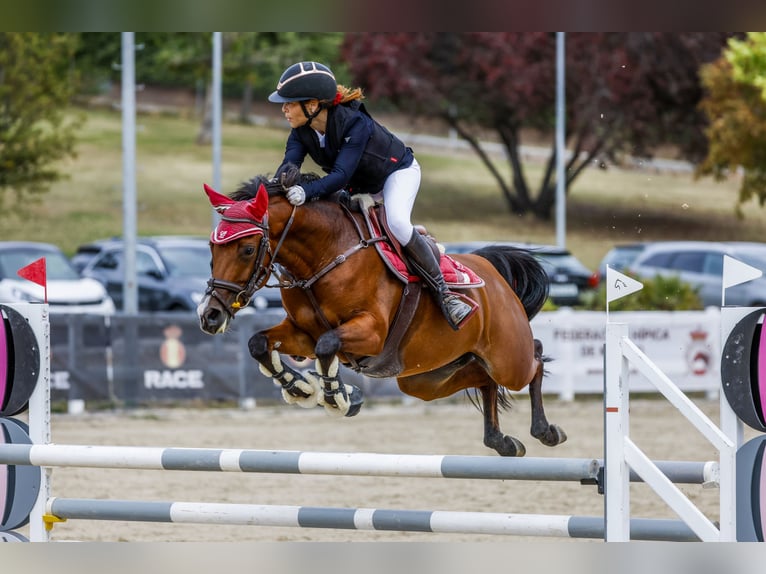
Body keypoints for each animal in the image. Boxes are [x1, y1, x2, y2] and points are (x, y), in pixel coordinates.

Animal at [198, 166, 568, 460]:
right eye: (212, 248)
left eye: (247, 249)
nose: (209, 316)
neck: (325, 255)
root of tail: (492, 271)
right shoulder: (301, 333)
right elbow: (259, 344)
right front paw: (302, 388)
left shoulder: (371, 333)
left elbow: (327, 345)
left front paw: (337, 397)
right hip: (426, 378)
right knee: (484, 379)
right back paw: (501, 441)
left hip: (508, 358)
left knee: (534, 359)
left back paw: (547, 431)